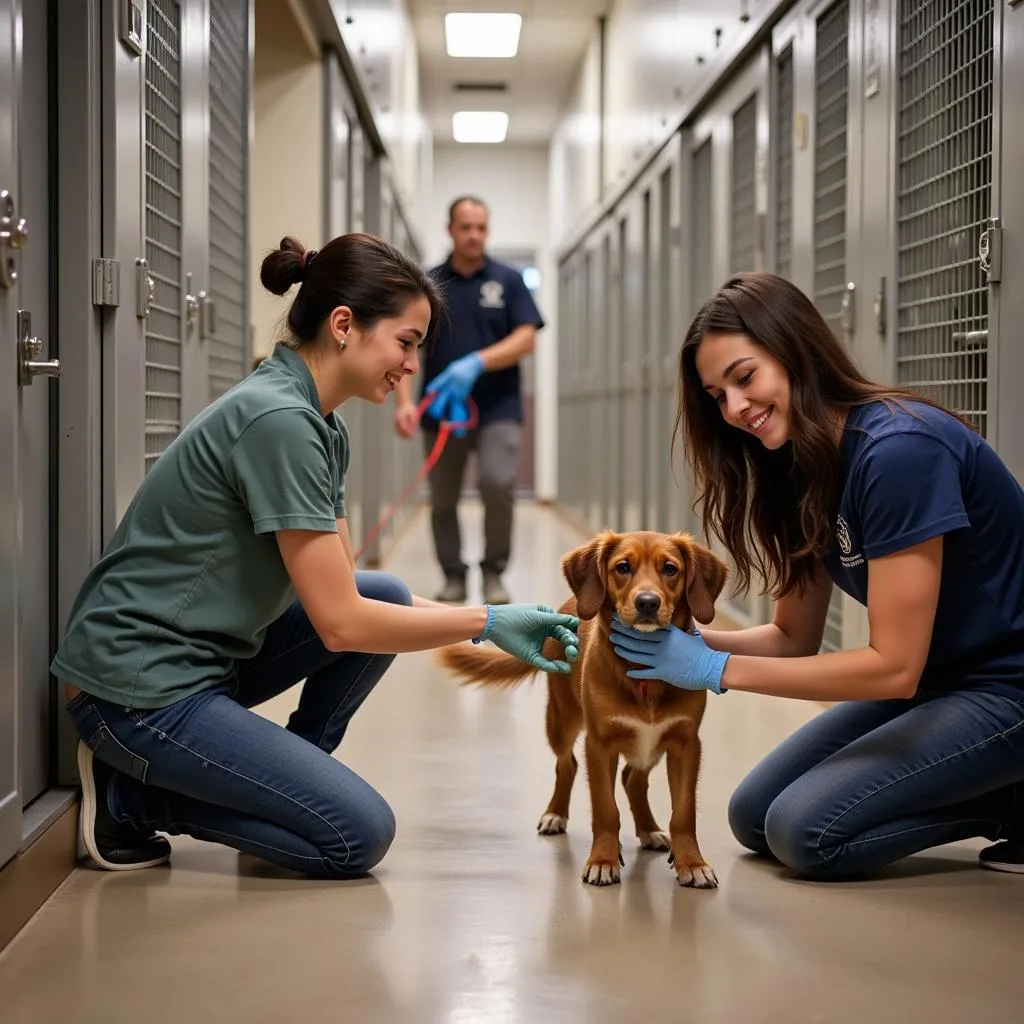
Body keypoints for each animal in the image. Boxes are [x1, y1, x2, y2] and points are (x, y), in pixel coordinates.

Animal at [438, 532, 729, 884]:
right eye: (623, 567)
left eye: (670, 569)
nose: (648, 603)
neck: (643, 672)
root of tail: (569, 607)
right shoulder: (599, 743)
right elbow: (605, 809)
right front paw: (603, 859)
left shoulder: (686, 744)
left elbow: (684, 812)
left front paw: (692, 862)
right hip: (561, 720)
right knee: (567, 765)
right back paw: (555, 814)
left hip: (650, 744)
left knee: (632, 778)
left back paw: (649, 830)